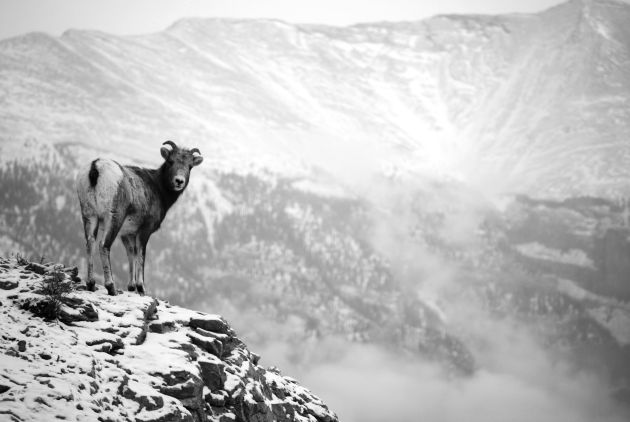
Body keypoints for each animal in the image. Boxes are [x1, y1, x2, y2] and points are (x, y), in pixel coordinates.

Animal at [77, 140, 204, 296]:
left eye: (190, 166)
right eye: (170, 161)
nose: (179, 181)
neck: (159, 189)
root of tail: (96, 167)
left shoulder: (127, 233)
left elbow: (132, 254)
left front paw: (131, 287)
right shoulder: (144, 231)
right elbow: (141, 255)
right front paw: (141, 288)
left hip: (89, 215)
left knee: (90, 243)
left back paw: (91, 284)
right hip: (113, 218)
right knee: (104, 245)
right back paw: (111, 288)